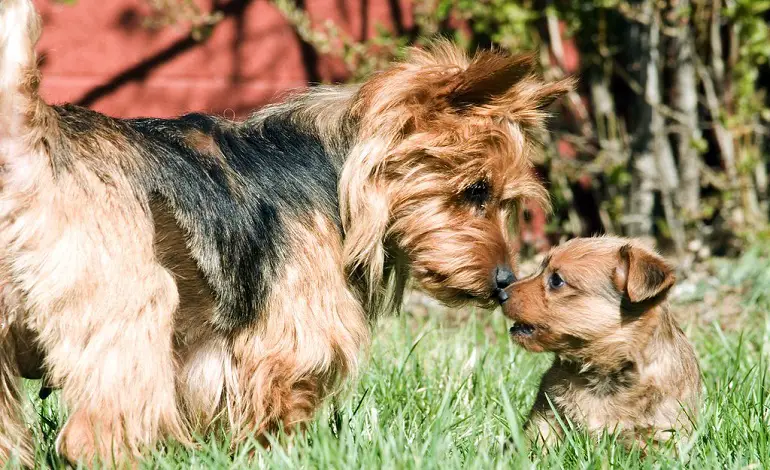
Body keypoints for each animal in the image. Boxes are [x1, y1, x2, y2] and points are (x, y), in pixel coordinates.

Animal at [0, 0, 568, 462]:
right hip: (133, 309)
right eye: (475, 190)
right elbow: (277, 411)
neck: (340, 172)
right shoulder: (293, 340)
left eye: (506, 202)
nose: (505, 282)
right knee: (96, 433)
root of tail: (32, 140)